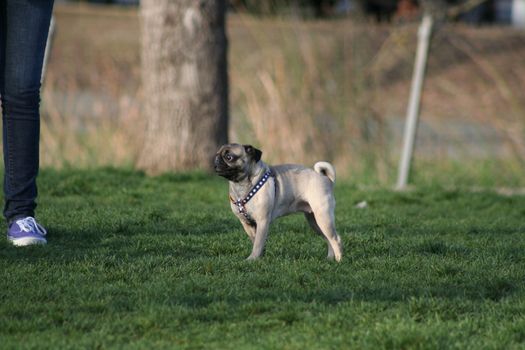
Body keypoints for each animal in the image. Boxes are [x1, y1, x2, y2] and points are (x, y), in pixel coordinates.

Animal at [212, 144, 340, 262]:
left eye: (229, 157)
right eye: (217, 154)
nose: (216, 160)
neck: (241, 185)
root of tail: (325, 178)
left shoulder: (262, 221)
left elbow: (258, 243)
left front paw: (252, 259)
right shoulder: (246, 223)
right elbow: (256, 241)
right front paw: (259, 257)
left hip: (323, 217)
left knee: (335, 239)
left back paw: (339, 260)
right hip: (315, 221)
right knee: (328, 239)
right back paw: (330, 258)